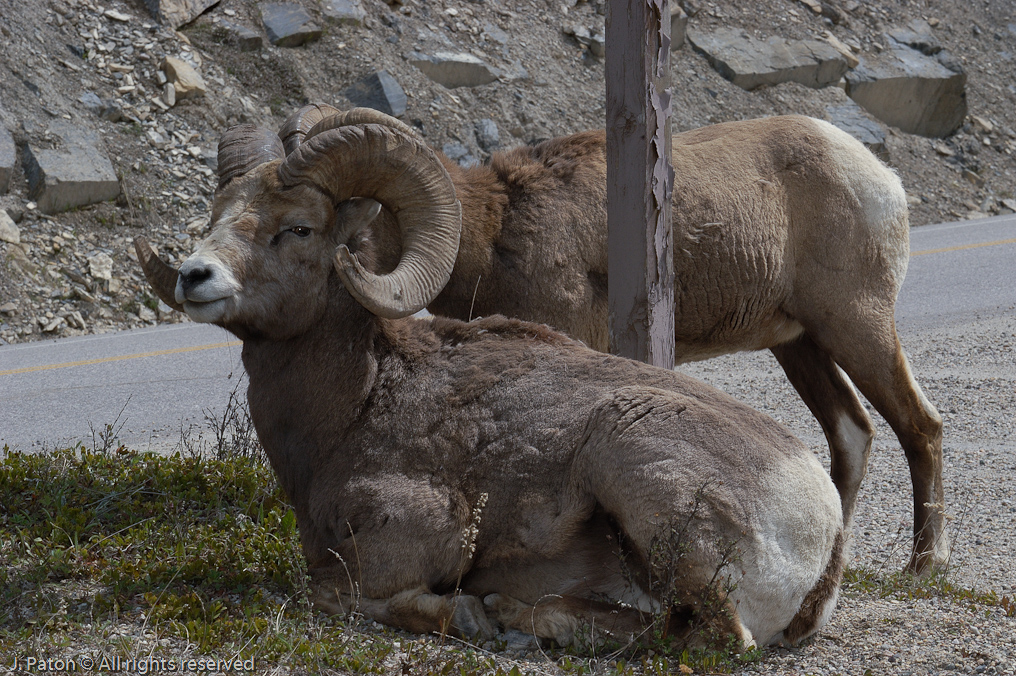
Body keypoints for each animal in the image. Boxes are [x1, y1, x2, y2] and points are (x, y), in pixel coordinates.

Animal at [135, 121, 846, 649]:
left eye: (298, 228)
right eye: (216, 217)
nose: (195, 277)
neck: (360, 404)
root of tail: (825, 520)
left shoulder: (416, 535)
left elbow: (336, 593)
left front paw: (465, 614)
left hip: (636, 468)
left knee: (704, 634)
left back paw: (509, 613)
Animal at [274, 105, 946, 574]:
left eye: (322, 221)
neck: (494, 234)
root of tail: (880, 178)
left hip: (855, 325)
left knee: (920, 426)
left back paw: (923, 567)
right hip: (799, 344)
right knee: (852, 433)